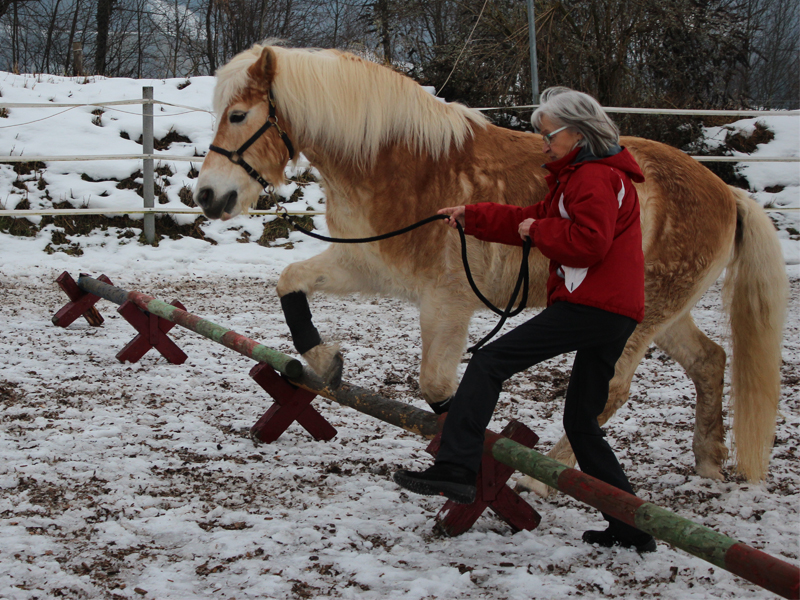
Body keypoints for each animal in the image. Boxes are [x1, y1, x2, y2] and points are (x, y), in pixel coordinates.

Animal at [195, 43, 788, 488]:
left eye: (239, 115)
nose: (207, 197)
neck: (404, 166)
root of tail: (729, 194)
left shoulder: (447, 303)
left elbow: (437, 386)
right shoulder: (360, 265)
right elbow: (289, 283)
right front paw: (324, 360)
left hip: (638, 321)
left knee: (612, 393)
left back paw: (538, 480)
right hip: (664, 316)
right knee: (709, 362)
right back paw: (707, 463)